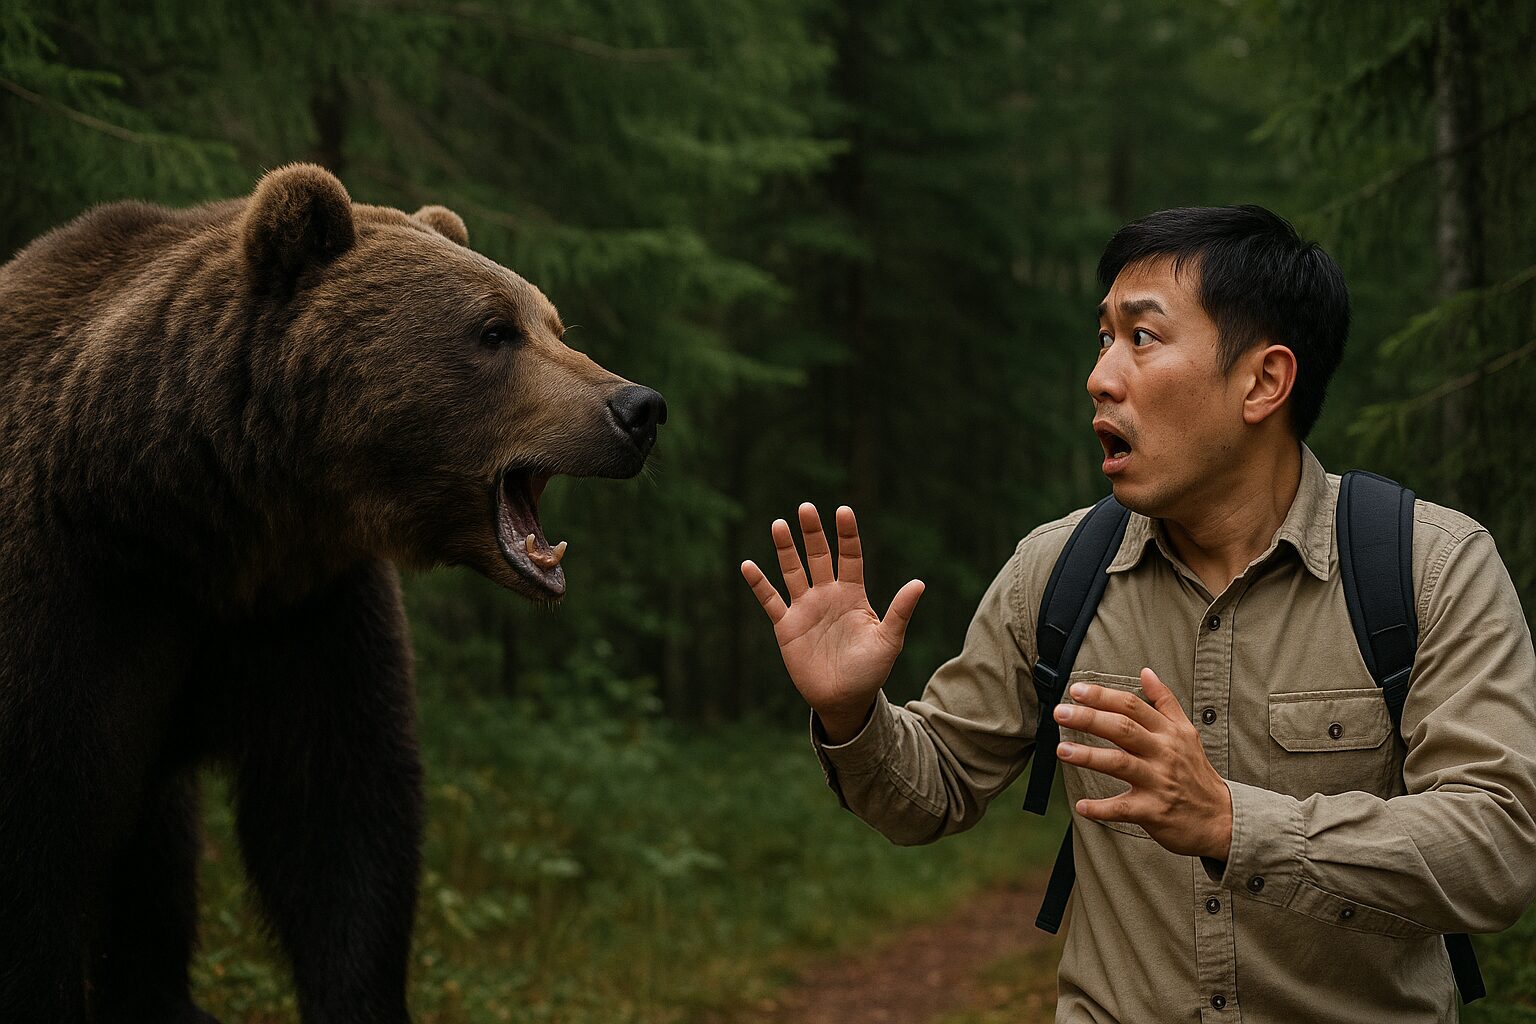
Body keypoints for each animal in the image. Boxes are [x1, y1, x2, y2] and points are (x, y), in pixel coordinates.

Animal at [0, 163, 666, 1023]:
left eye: (553, 322)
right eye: (493, 330)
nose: (638, 408)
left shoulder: (304, 614)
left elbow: (339, 825)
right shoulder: (71, 598)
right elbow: (37, 849)